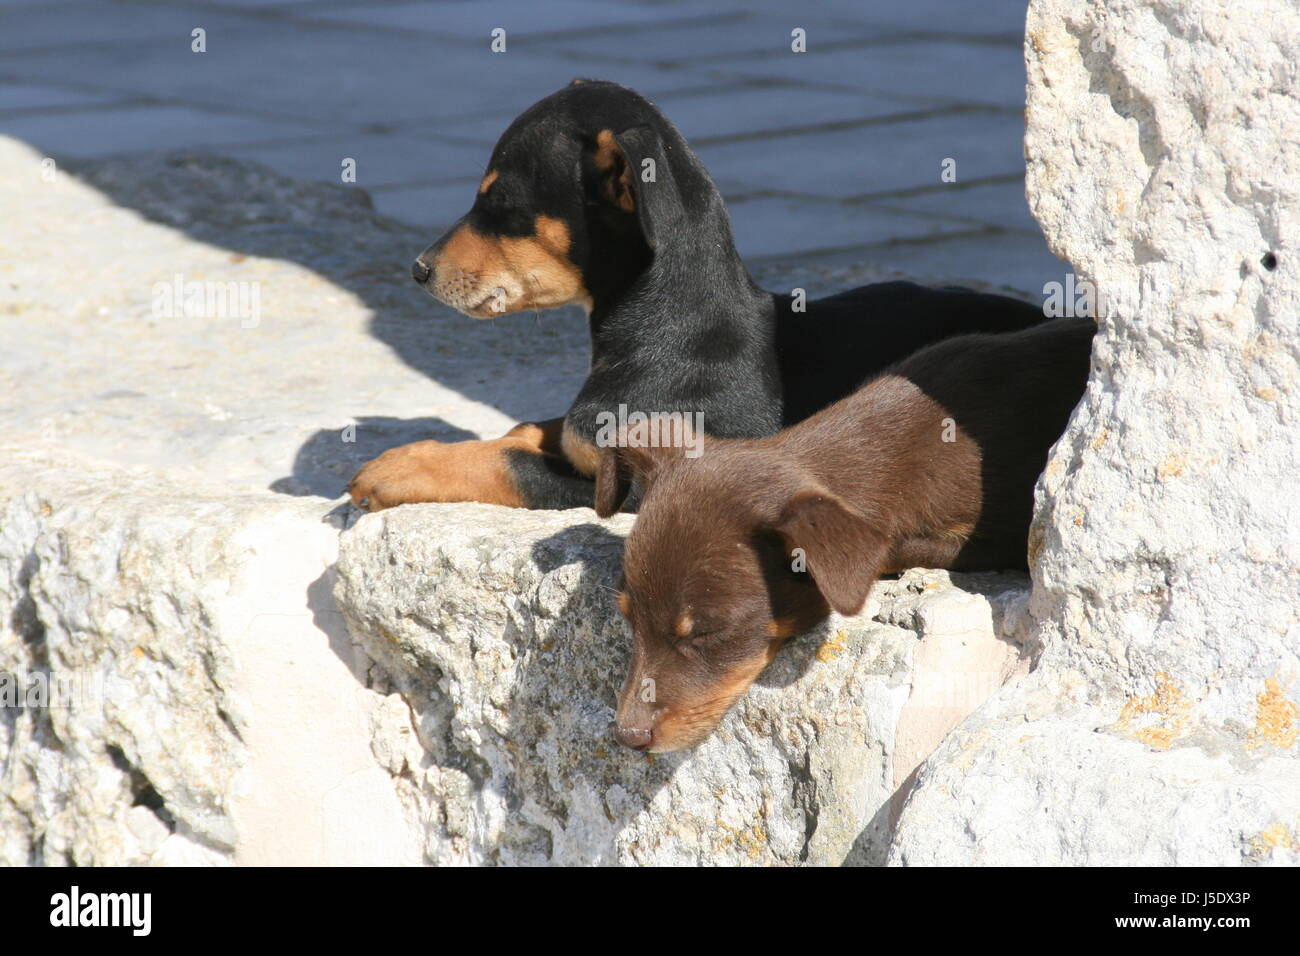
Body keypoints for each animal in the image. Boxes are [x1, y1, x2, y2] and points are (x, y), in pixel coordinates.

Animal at [351, 82, 1050, 515]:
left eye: (499, 204)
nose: (418, 270)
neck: (662, 327)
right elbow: (525, 430)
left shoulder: (639, 486)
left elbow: (511, 464)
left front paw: (397, 469)